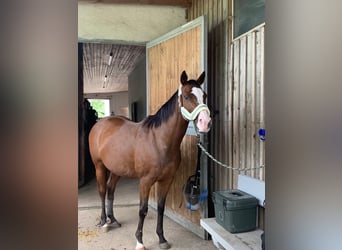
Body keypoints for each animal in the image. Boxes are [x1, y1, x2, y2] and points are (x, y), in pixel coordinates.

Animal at [89, 70, 211, 250]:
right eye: (187, 97)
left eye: (204, 95)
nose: (205, 123)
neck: (159, 140)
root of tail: (100, 124)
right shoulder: (145, 181)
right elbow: (143, 210)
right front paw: (140, 241)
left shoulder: (166, 180)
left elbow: (160, 208)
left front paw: (162, 239)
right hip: (99, 166)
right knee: (103, 191)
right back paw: (104, 222)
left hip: (117, 169)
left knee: (110, 190)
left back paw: (113, 220)